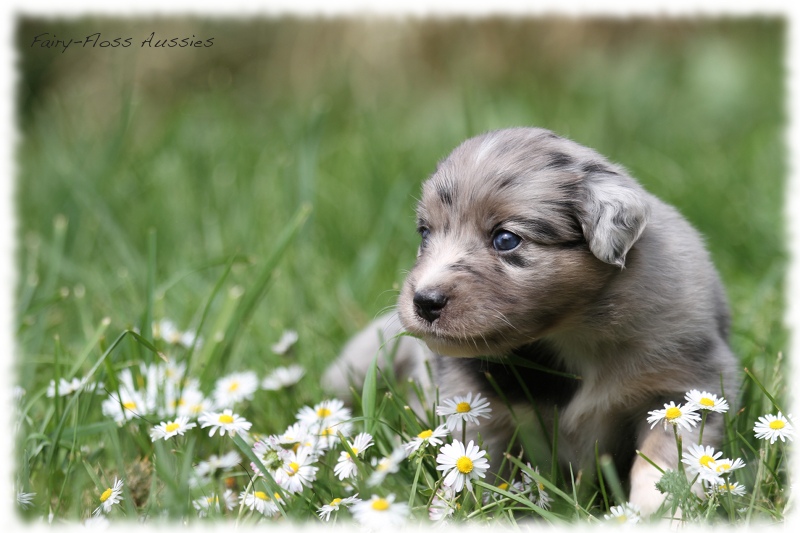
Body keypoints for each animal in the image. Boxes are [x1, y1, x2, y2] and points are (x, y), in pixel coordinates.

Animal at [324, 127, 736, 512]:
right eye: (425, 234)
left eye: (506, 239)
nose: (424, 302)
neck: (574, 330)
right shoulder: (476, 401)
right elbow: (469, 463)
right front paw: (450, 508)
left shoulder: (683, 382)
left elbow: (664, 460)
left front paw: (657, 511)